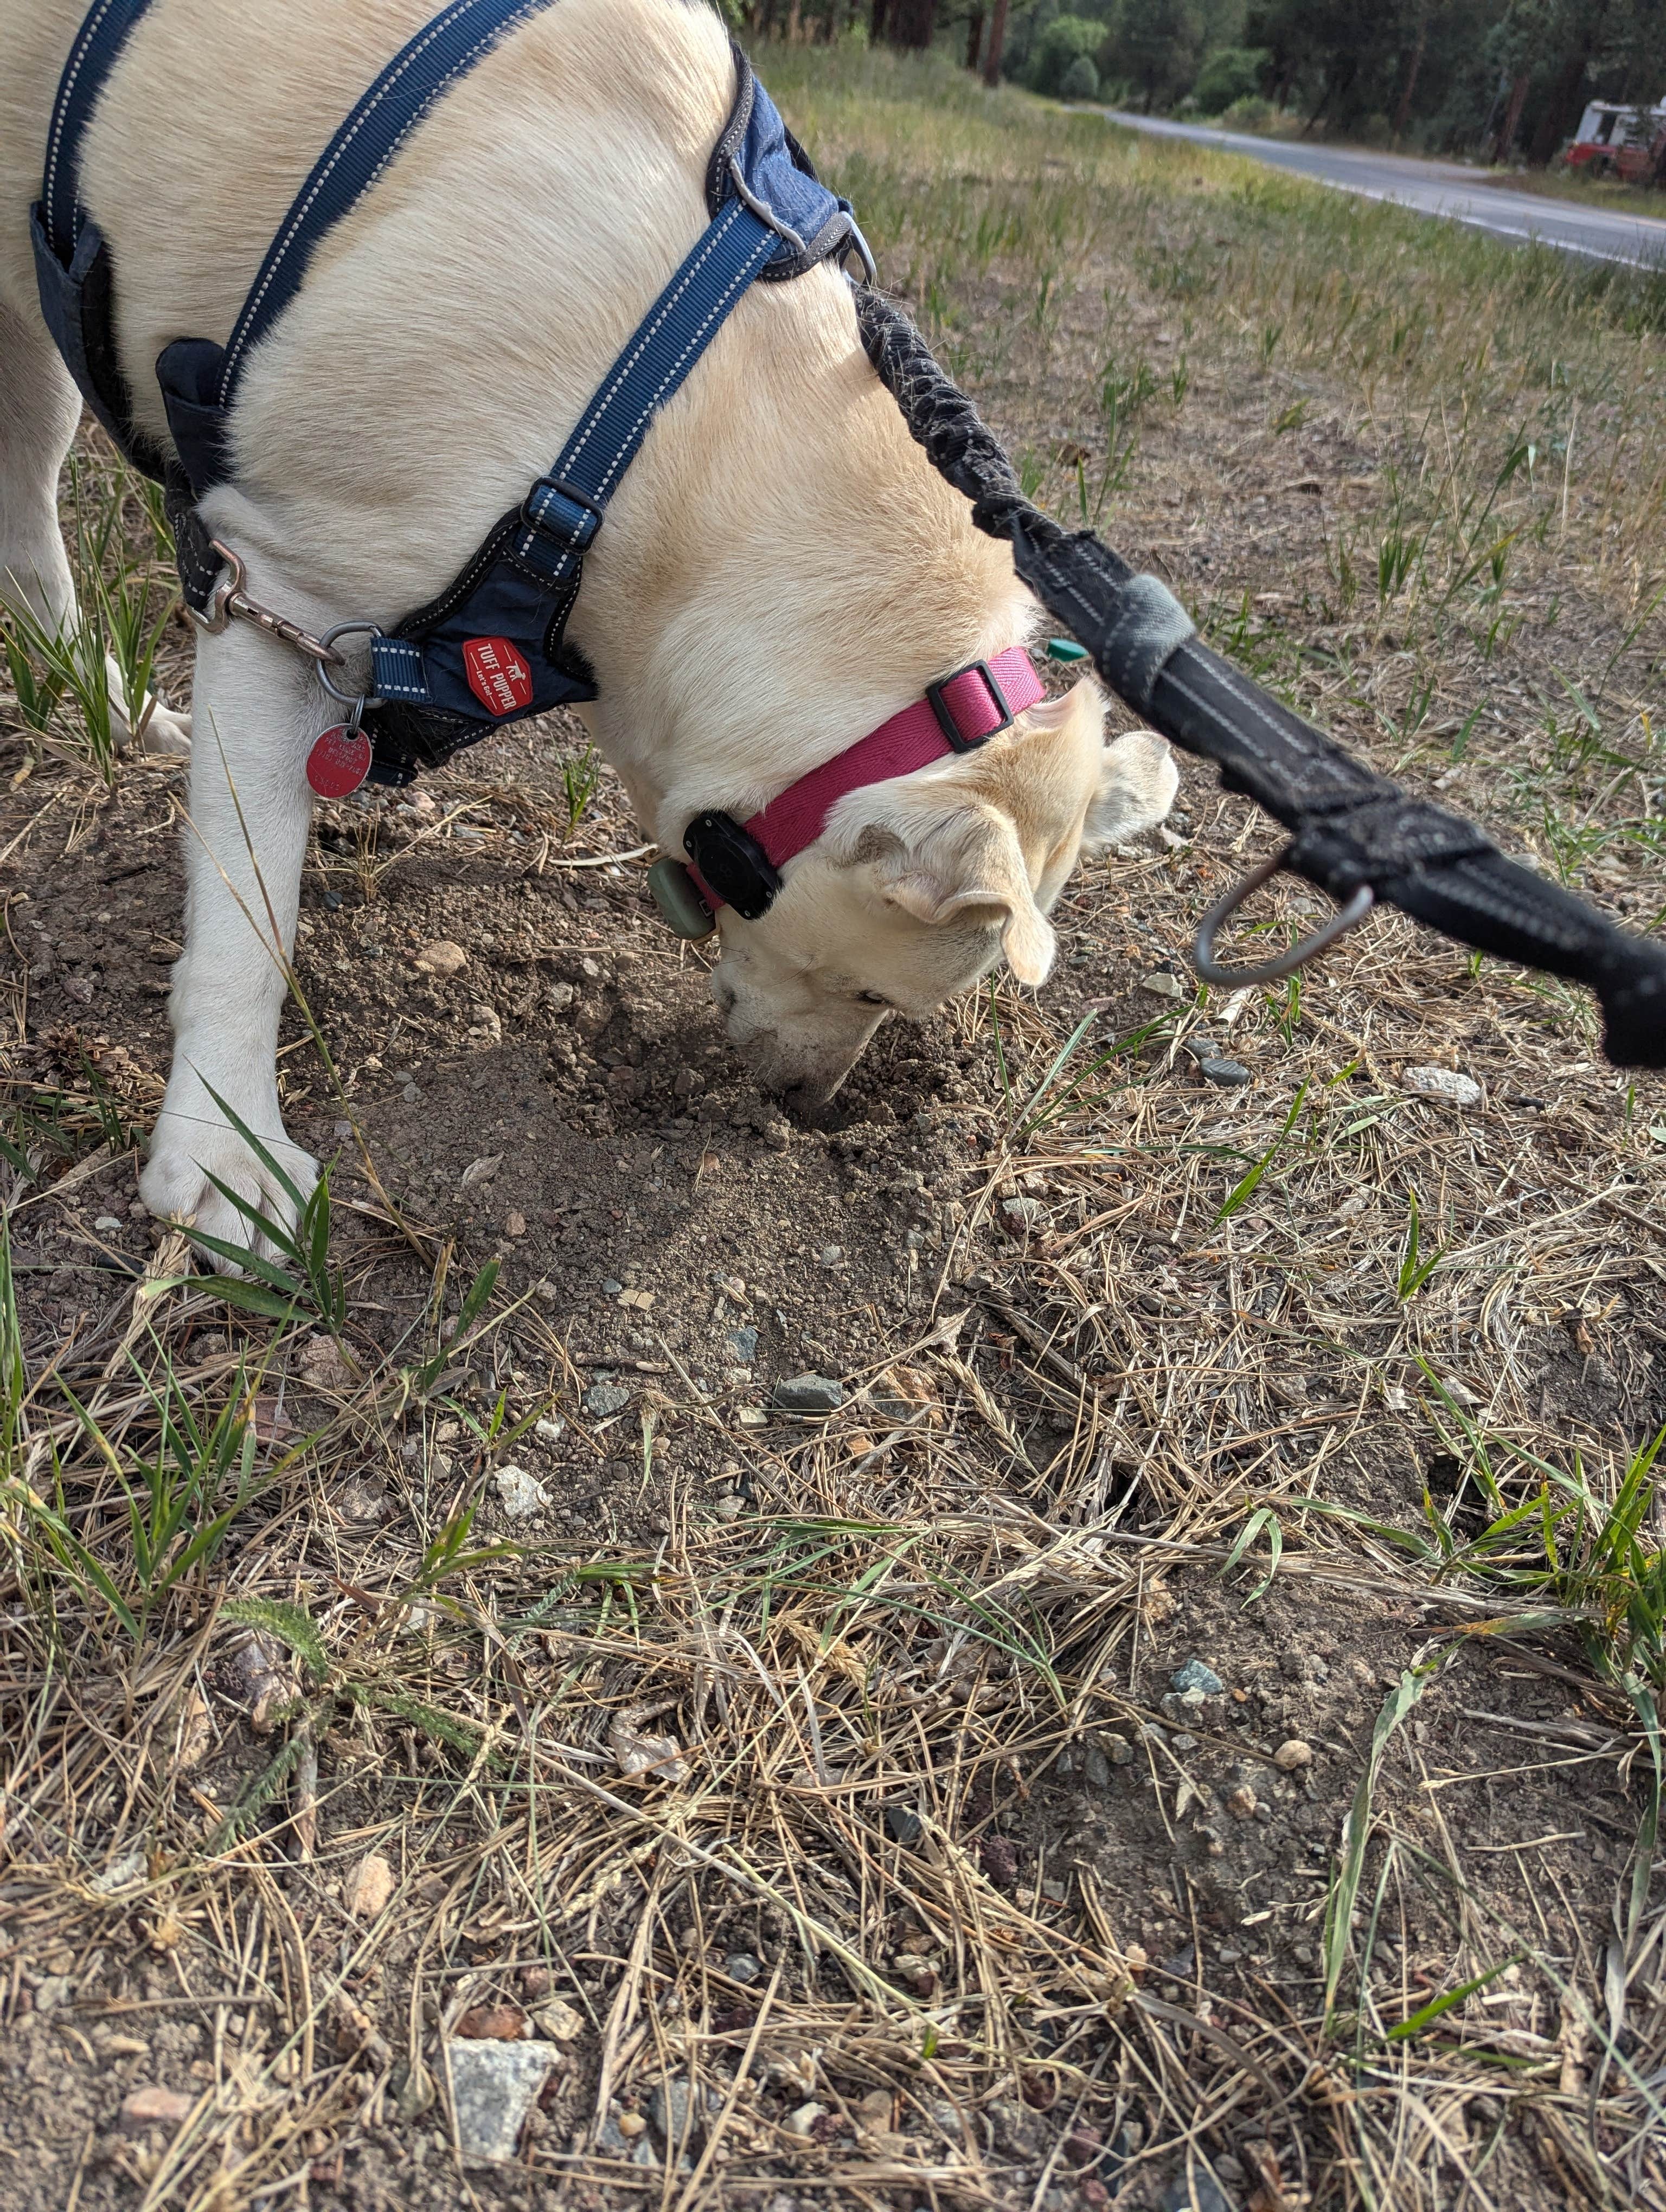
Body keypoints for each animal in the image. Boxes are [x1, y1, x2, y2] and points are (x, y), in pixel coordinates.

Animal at [0, 0, 1177, 1256]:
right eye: (874, 996)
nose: (810, 1108)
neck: (671, 421)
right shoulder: (279, 591)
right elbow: (247, 913)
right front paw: (224, 1146)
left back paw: (122, 712)